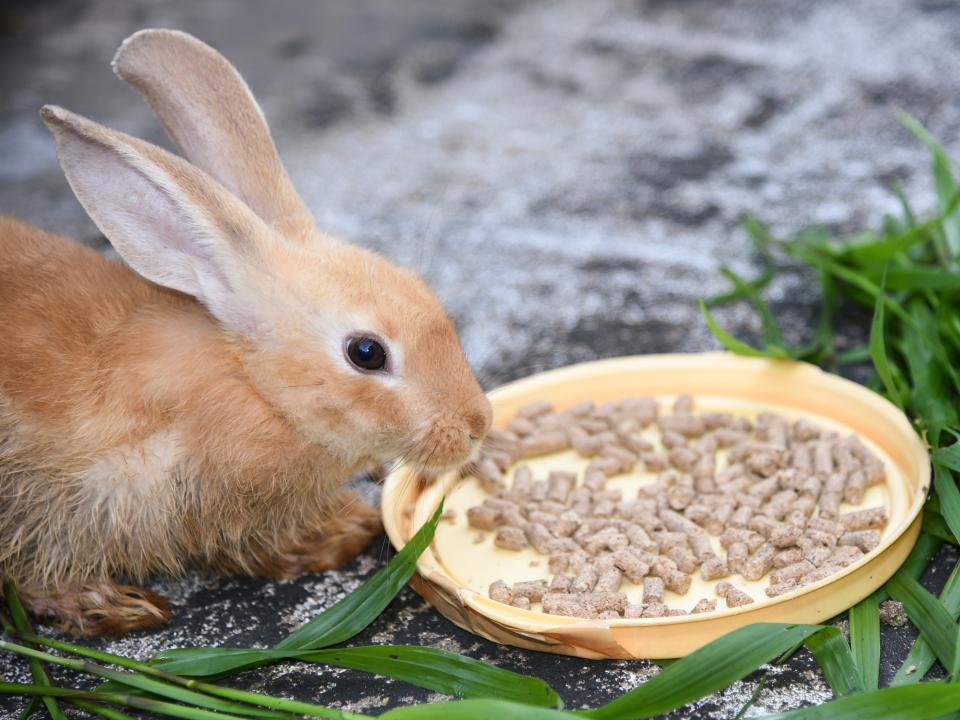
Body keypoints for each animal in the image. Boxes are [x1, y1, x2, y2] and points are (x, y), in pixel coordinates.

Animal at [0, 29, 492, 636]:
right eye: (367, 353)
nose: (477, 425)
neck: (250, 381)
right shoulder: (55, 500)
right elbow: (40, 570)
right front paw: (109, 606)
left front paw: (338, 533)